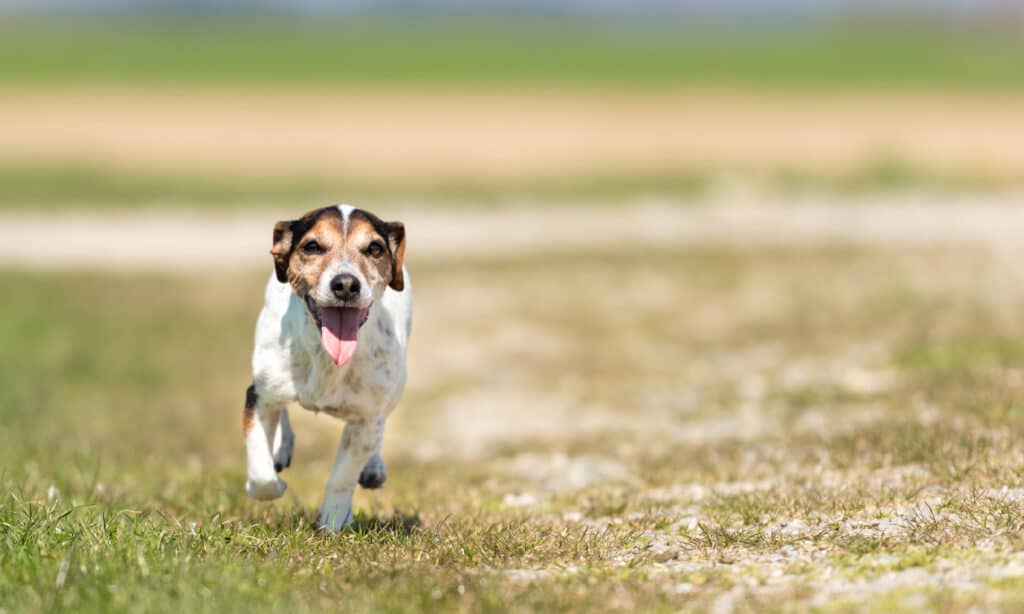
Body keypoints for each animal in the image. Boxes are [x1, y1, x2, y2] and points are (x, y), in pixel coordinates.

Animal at [241, 203, 409, 528]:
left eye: (374, 248)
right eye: (312, 246)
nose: (345, 284)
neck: (326, 357)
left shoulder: (366, 419)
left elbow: (343, 476)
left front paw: (333, 522)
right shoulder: (259, 395)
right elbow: (260, 470)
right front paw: (272, 481)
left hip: (395, 388)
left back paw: (373, 468)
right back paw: (280, 447)